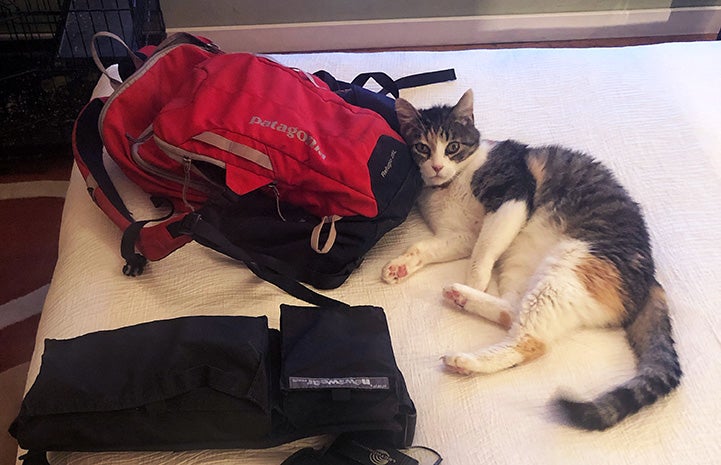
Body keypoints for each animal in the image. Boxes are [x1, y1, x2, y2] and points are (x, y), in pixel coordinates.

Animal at [382, 89, 680, 430]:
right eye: (421, 147)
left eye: (452, 147)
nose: (436, 167)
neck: (452, 183)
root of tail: (650, 276)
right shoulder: (459, 235)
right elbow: (425, 247)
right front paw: (399, 266)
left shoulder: (511, 198)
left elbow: (485, 248)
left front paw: (476, 279)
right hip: (523, 264)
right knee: (513, 310)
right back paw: (461, 297)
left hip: (569, 266)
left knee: (531, 342)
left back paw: (465, 358)